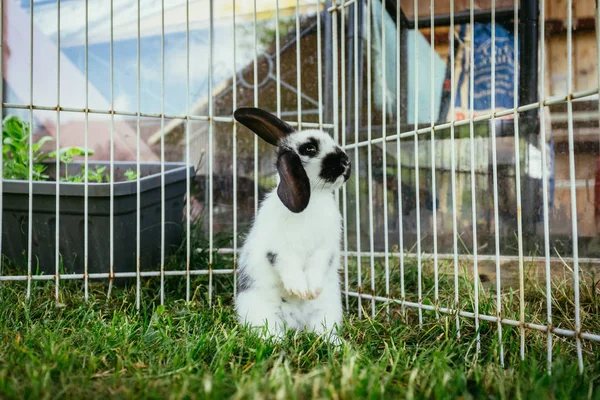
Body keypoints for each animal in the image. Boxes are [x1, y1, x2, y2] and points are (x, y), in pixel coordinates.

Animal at [231, 108, 352, 342]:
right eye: (310, 148)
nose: (345, 162)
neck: (314, 197)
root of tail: (297, 324)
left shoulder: (326, 248)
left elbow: (317, 264)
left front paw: (311, 291)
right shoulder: (278, 248)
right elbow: (288, 264)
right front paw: (299, 290)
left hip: (327, 312)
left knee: (323, 331)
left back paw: (338, 344)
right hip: (262, 312)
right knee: (270, 332)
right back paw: (276, 343)